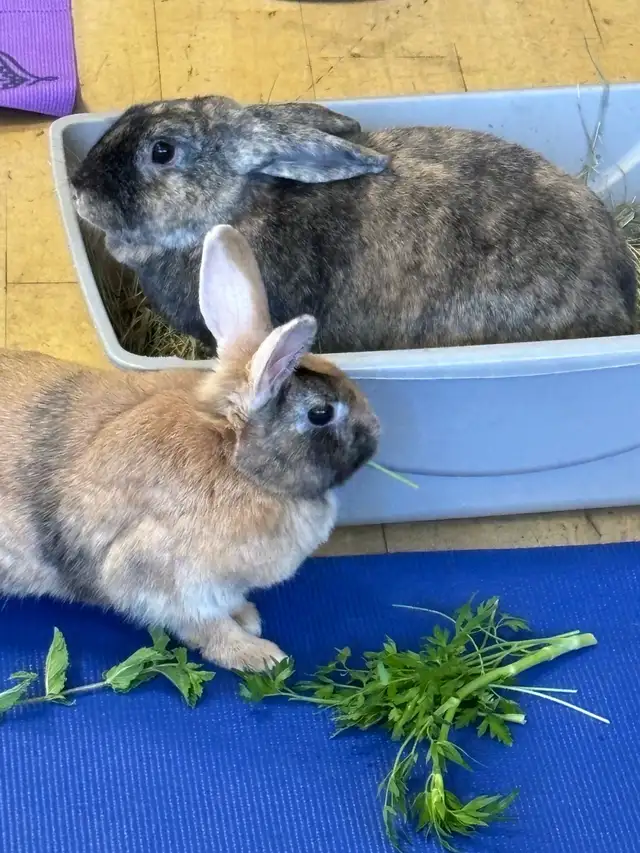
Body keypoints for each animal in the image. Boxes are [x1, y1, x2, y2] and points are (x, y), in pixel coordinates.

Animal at [0, 225, 379, 672]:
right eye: (321, 413)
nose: (376, 430)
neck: (235, 463)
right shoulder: (165, 585)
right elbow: (208, 630)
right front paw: (259, 654)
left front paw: (248, 616)